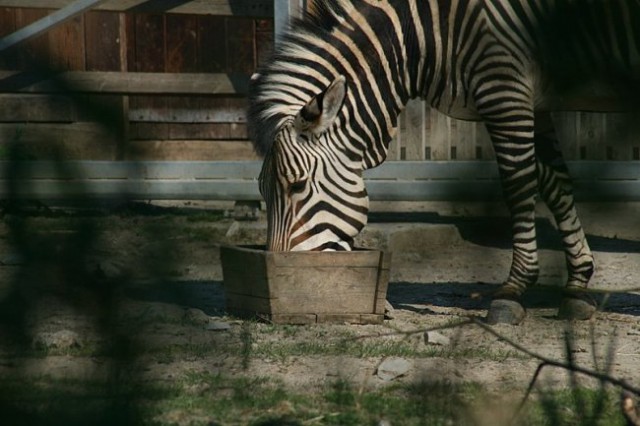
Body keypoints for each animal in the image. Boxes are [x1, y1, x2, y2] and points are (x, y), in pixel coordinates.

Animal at [248, 0, 640, 324]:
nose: (277, 289)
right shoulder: (535, 102)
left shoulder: (504, 88)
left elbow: (518, 185)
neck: (427, 31)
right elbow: (556, 183)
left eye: (298, 185)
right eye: (262, 191)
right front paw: (577, 287)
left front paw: (513, 290)